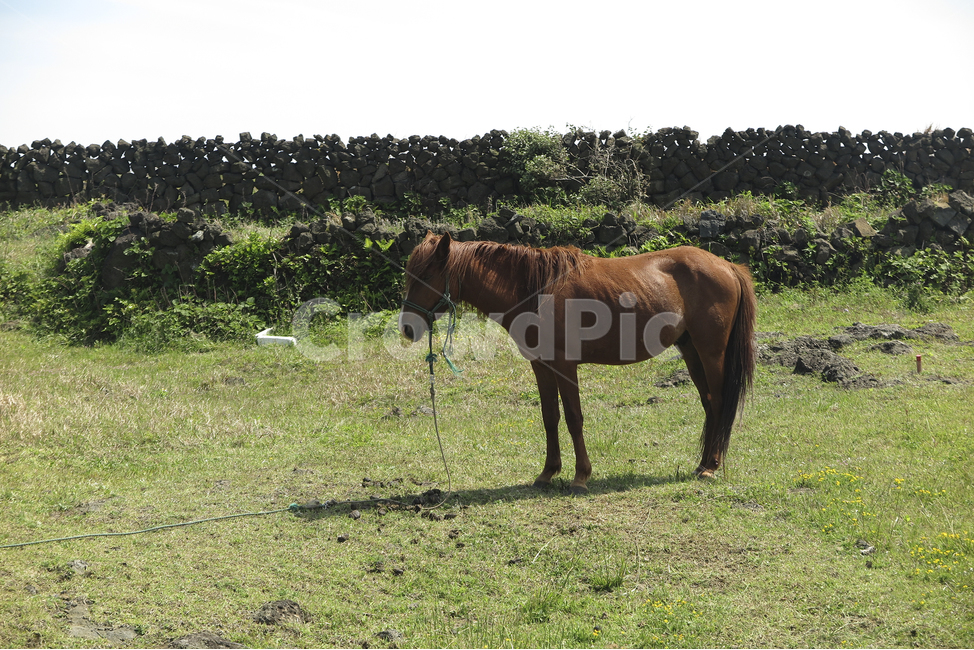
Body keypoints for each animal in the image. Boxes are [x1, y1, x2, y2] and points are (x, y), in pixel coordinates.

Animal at [399, 231, 756, 494]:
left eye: (426, 274)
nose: (407, 328)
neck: (535, 290)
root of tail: (727, 266)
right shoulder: (541, 366)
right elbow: (550, 417)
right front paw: (547, 473)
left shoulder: (565, 365)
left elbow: (573, 418)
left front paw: (580, 476)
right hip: (691, 351)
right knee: (709, 404)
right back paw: (703, 464)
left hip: (711, 352)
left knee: (719, 402)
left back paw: (711, 467)